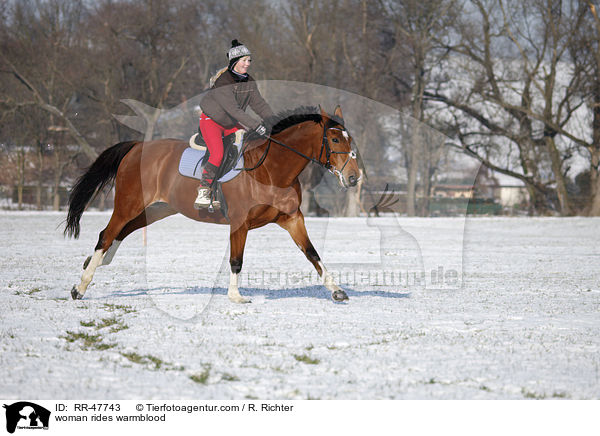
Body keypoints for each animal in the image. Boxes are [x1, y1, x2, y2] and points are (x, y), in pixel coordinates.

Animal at [63, 106, 358, 304]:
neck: (271, 170)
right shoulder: (240, 223)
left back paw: (93, 264)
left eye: (349, 139)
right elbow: (236, 260)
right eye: (334, 139)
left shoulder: (292, 219)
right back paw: (80, 287)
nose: (354, 177)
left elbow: (312, 253)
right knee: (107, 234)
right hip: (128, 205)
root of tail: (136, 146)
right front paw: (236, 296)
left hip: (155, 210)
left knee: (117, 234)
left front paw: (336, 290)